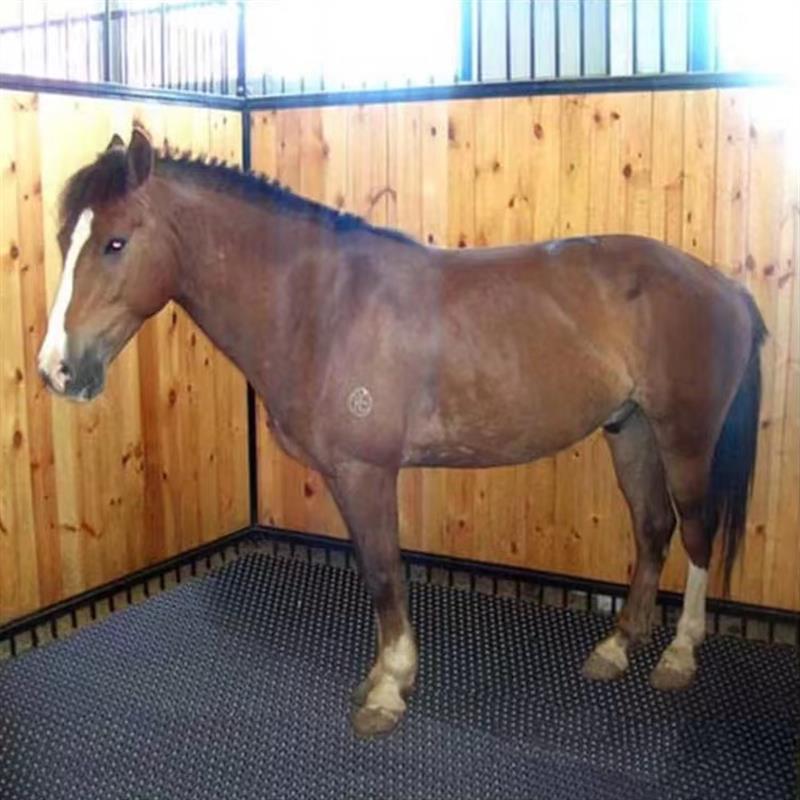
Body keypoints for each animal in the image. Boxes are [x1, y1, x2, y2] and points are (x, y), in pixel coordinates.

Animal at [39, 130, 768, 736]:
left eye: (115, 242)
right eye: (65, 240)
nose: (57, 369)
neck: (322, 306)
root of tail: (725, 288)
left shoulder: (368, 473)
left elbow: (386, 573)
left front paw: (389, 690)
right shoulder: (348, 478)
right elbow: (374, 571)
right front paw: (385, 676)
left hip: (683, 437)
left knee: (695, 532)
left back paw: (678, 655)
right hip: (629, 429)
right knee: (652, 529)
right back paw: (617, 646)